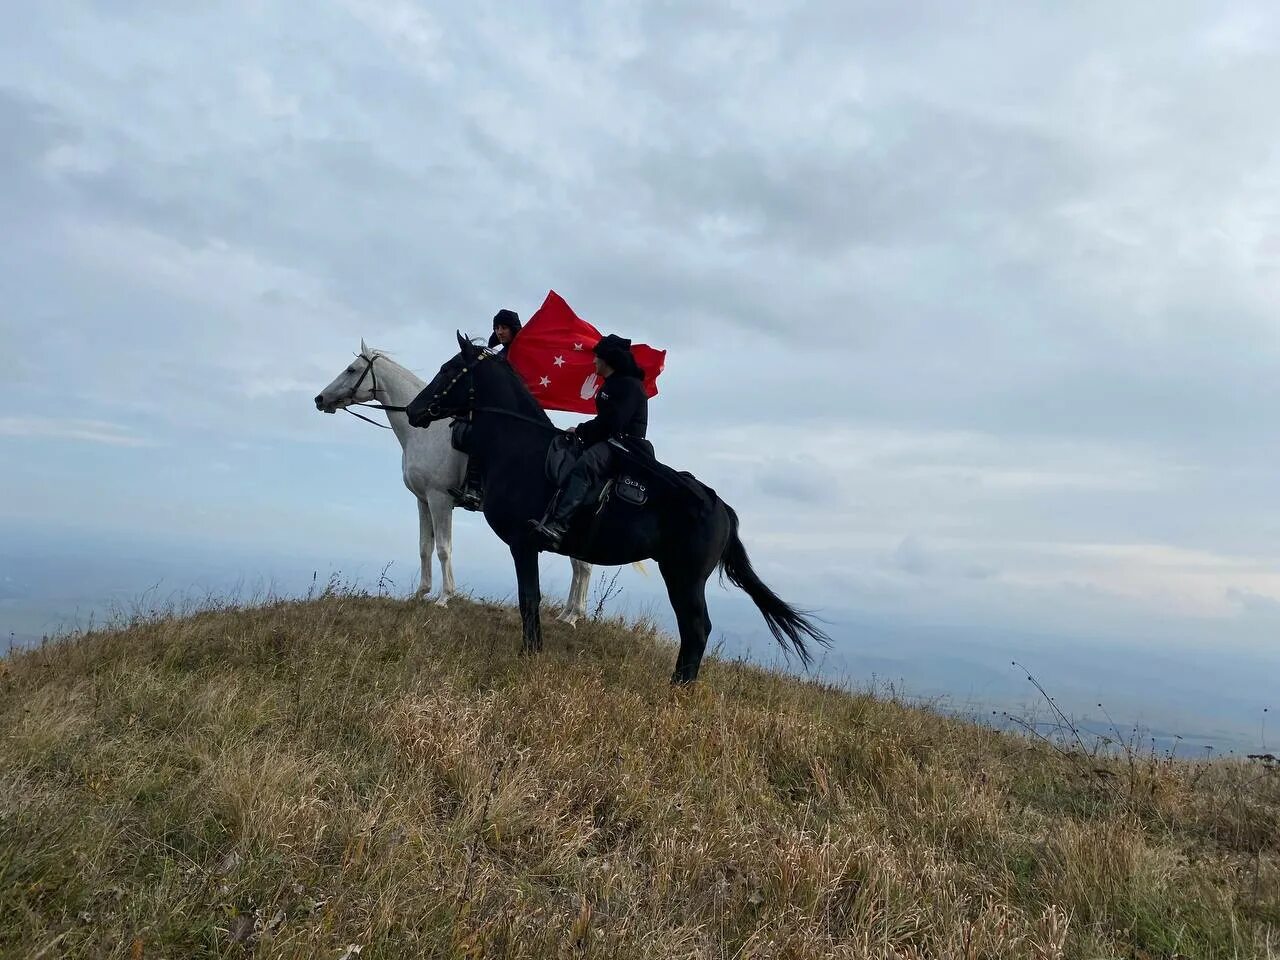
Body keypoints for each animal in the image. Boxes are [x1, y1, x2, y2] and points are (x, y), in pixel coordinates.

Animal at [312, 343, 591, 619]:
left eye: (351, 369)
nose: (320, 399)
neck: (422, 433)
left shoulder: (440, 499)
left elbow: (443, 548)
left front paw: (444, 597)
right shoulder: (423, 501)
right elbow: (424, 547)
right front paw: (421, 593)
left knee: (582, 565)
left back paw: (573, 616)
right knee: (579, 564)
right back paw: (567, 613)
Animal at [404, 335, 834, 686]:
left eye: (450, 370)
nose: (412, 410)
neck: (517, 447)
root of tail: (721, 508)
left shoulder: (523, 544)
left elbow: (530, 599)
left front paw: (529, 654)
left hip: (685, 576)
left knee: (697, 628)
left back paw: (678, 689)